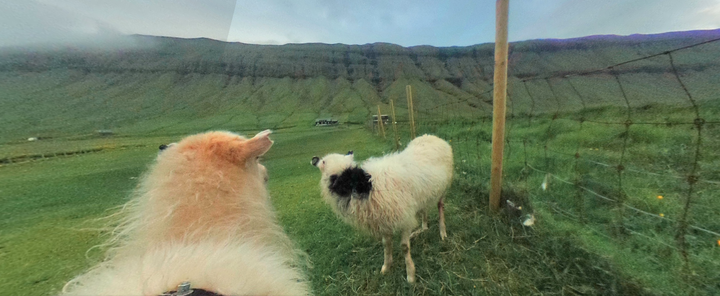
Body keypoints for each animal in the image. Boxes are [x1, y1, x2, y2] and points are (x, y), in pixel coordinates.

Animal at [308, 134, 450, 282]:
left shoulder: (404, 217)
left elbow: (404, 247)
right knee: (424, 210)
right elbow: (386, 244)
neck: (364, 185)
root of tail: (432, 136)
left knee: (440, 207)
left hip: (443, 189)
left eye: (323, 163)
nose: (315, 159)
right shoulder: (383, 218)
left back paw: (443, 233)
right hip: (422, 194)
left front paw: (410, 275)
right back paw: (423, 228)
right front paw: (386, 268)